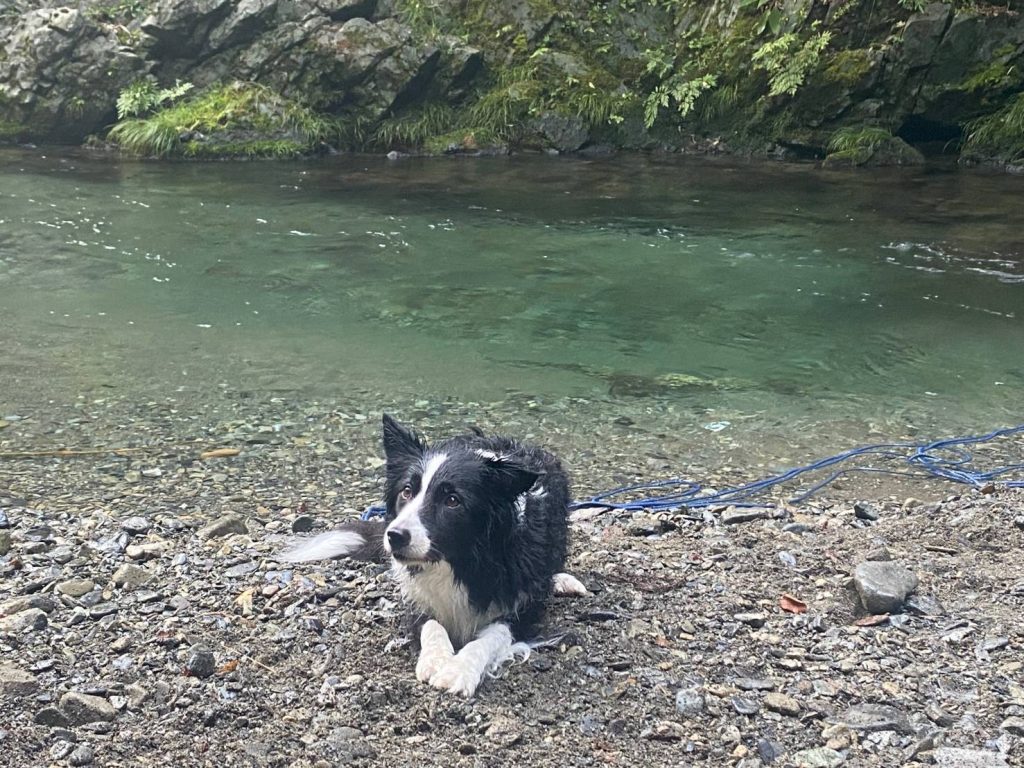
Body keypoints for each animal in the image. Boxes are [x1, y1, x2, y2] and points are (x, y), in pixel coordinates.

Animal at [280, 415, 589, 696]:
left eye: (452, 500)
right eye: (406, 491)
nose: (394, 536)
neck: (457, 560)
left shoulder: (522, 609)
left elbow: (490, 637)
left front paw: (458, 669)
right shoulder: (416, 599)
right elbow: (431, 623)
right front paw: (436, 659)